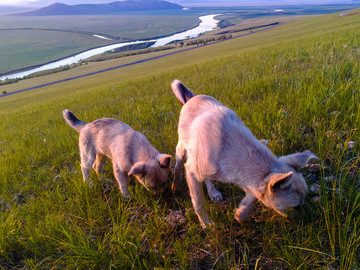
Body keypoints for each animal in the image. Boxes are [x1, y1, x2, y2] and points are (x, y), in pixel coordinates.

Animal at [170, 80, 316, 228]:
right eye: (295, 207)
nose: (311, 221)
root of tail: (192, 97)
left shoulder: (252, 182)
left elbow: (253, 196)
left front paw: (241, 214)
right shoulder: (191, 172)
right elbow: (199, 204)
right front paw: (207, 224)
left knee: (207, 179)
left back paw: (213, 193)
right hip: (182, 151)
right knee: (177, 167)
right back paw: (175, 186)